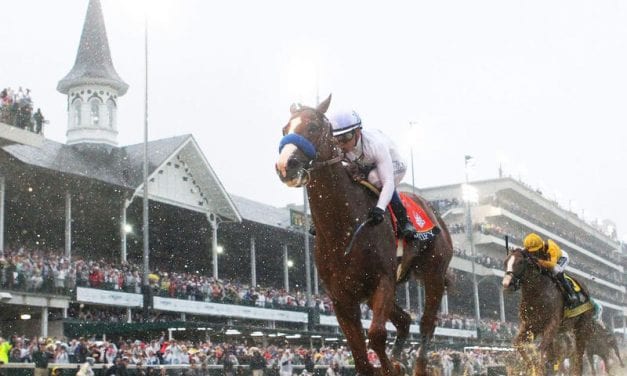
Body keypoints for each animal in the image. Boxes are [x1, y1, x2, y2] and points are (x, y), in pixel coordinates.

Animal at [274, 95, 452, 374]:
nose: (285, 165)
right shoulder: (340, 296)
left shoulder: (383, 280)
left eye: (313, 127)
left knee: (426, 323)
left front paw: (391, 367)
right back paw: (400, 358)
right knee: (405, 320)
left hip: (433, 273)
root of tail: (434, 214)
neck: (342, 230)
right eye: (285, 129)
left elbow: (376, 336)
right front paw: (390, 364)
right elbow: (359, 354)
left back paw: (416, 364)